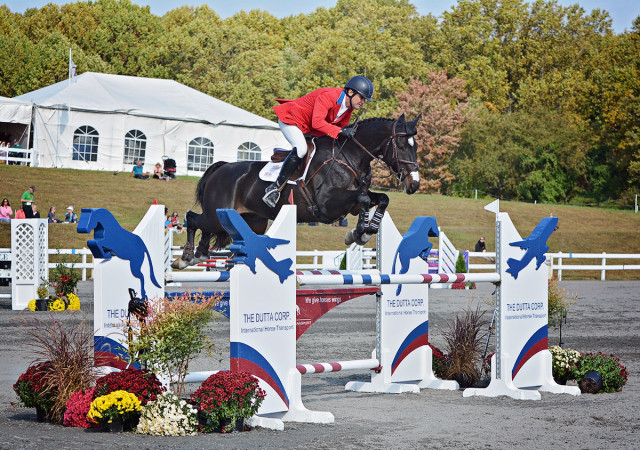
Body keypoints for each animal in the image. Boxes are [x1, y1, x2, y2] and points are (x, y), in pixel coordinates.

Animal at [172, 114, 422, 268]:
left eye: (416, 146)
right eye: (401, 146)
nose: (414, 184)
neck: (349, 156)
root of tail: (221, 168)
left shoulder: (348, 203)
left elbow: (380, 199)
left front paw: (365, 230)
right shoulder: (328, 204)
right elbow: (362, 199)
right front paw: (360, 232)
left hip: (251, 222)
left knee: (206, 228)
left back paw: (200, 254)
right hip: (217, 214)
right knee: (193, 218)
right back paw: (185, 257)